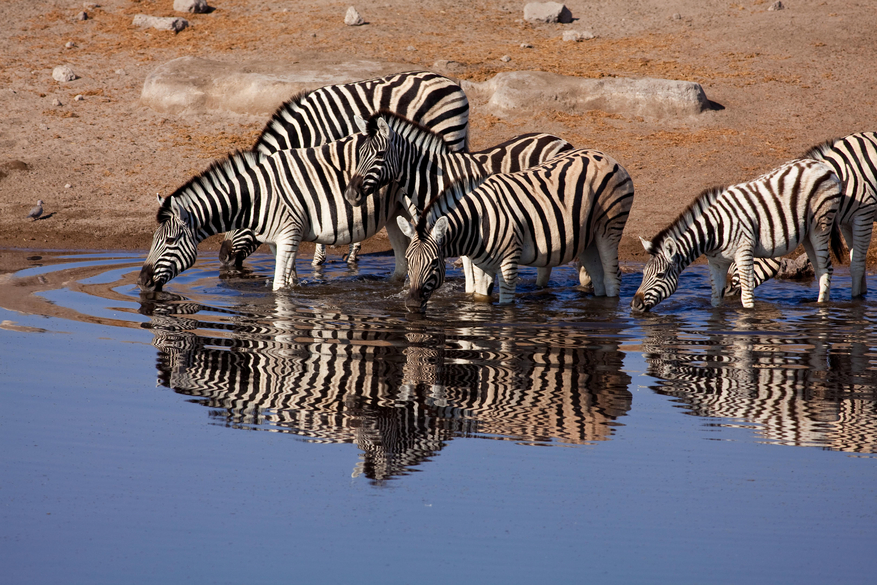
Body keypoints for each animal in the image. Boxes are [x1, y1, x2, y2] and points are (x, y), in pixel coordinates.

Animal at [139, 135, 406, 294]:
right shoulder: (277, 242)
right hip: (393, 214)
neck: (257, 197)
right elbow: (289, 281)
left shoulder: (289, 235)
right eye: (153, 240)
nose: (142, 281)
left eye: (170, 241)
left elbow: (278, 288)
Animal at [217, 70, 472, 270]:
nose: (222, 257)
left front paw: (320, 257)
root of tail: (452, 84)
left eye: (241, 216)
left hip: (449, 132)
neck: (305, 130)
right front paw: (351, 251)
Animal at [394, 147, 632, 310]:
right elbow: (481, 299)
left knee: (613, 278)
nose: (412, 305)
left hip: (609, 229)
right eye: (407, 260)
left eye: (435, 262)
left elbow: (506, 307)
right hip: (588, 239)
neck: (477, 223)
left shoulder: (509, 262)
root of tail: (606, 156)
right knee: (598, 278)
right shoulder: (481, 266)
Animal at [628, 155, 840, 310]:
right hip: (807, 235)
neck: (712, 231)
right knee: (819, 270)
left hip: (820, 226)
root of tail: (822, 165)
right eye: (644, 273)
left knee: (826, 268)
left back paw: (822, 308)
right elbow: (715, 298)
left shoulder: (743, 254)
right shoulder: (716, 262)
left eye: (660, 275)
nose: (635, 304)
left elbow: (747, 298)